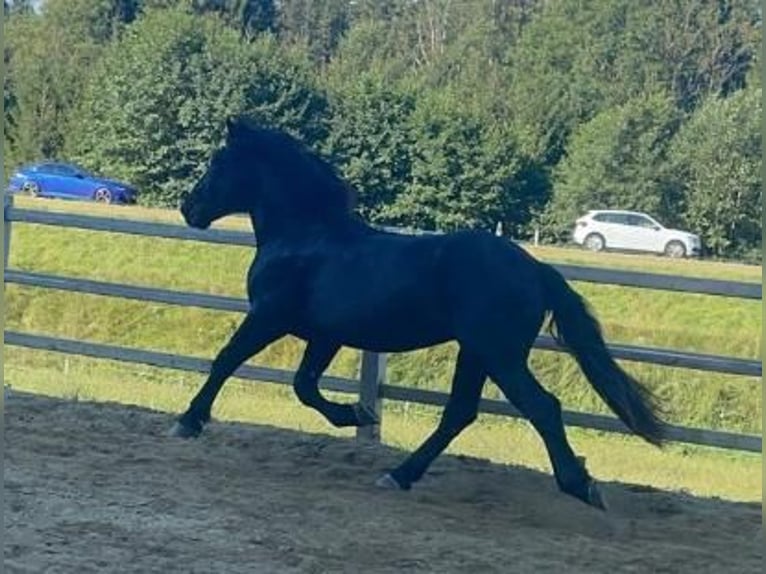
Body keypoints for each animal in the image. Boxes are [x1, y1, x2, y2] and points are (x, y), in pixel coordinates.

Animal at [172, 117, 665, 510]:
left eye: (218, 162)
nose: (189, 208)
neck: (305, 237)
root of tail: (537, 269)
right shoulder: (326, 334)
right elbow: (304, 385)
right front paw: (358, 414)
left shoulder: (269, 317)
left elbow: (227, 361)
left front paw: (189, 421)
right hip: (476, 353)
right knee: (460, 413)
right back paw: (400, 474)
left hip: (499, 354)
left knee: (542, 407)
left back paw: (581, 485)